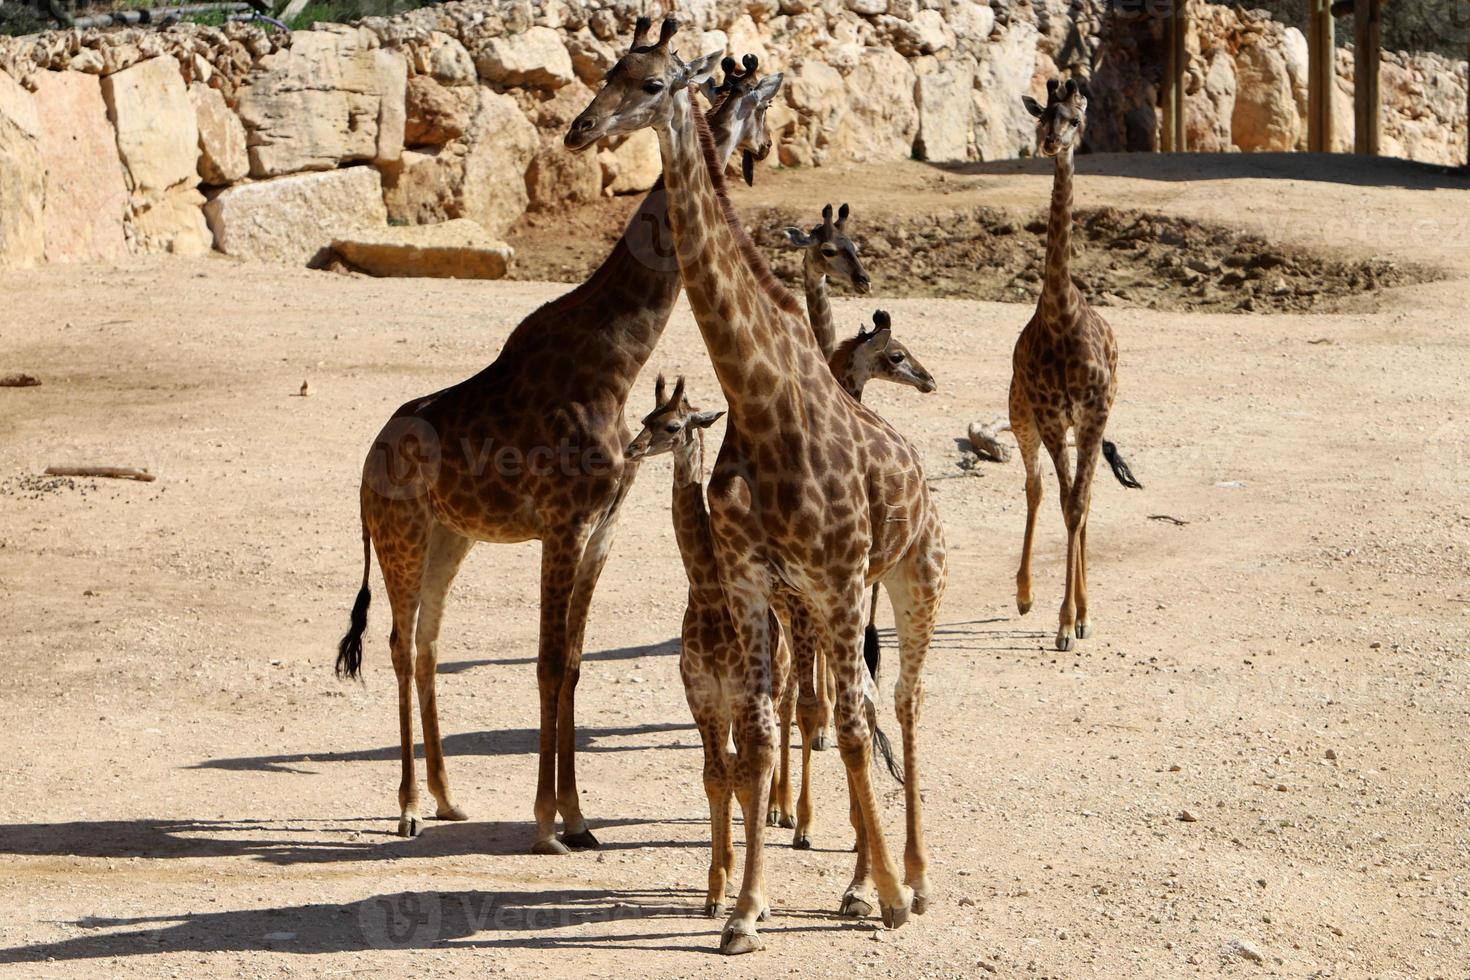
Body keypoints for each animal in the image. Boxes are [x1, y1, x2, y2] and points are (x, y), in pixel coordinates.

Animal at [335, 40, 787, 852]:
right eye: (611, 74)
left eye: (650, 81)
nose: (581, 130)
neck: (615, 358)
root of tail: (366, 461)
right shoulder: (562, 522)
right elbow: (547, 663)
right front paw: (546, 824)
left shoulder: (603, 523)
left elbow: (573, 662)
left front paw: (577, 818)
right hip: (400, 534)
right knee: (396, 641)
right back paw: (409, 806)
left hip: (452, 536)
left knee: (429, 642)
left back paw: (448, 798)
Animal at [626, 376, 793, 922]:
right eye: (644, 418)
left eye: (674, 425)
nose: (632, 449)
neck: (708, 594)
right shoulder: (701, 696)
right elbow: (714, 776)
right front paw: (716, 889)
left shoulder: (738, 696)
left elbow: (739, 776)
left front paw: (750, 897)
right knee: (736, 769)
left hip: (771, 693)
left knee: (762, 760)